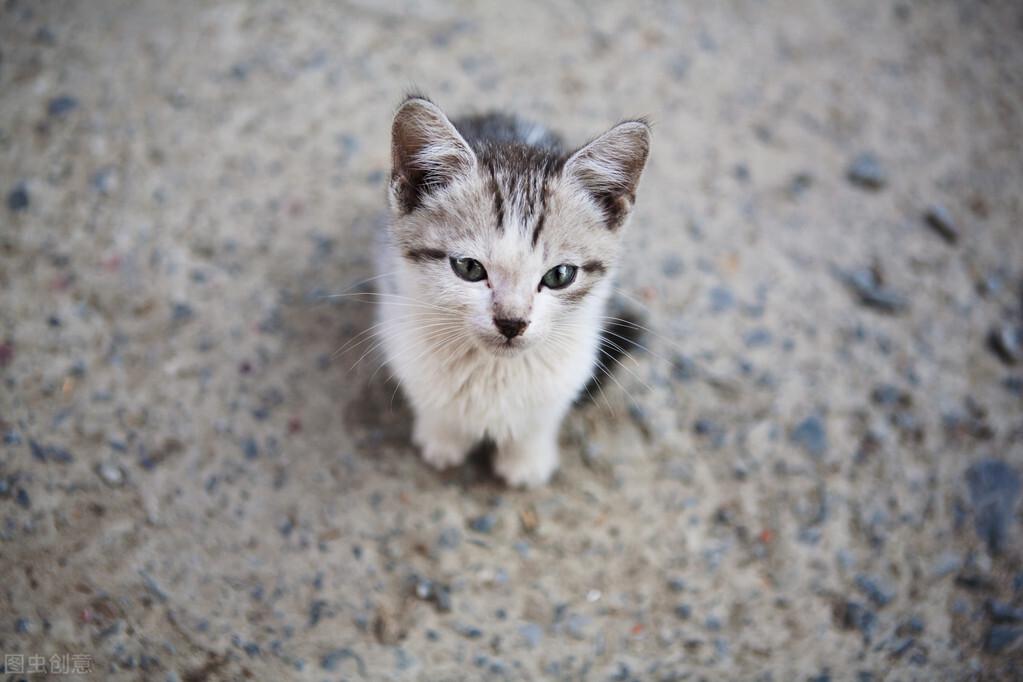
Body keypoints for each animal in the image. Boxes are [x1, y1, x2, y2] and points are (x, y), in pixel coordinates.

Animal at [376, 96, 646, 488]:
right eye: (469, 268)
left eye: (560, 275)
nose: (511, 322)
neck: (495, 372)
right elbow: (432, 397)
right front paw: (442, 440)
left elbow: (540, 418)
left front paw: (526, 461)